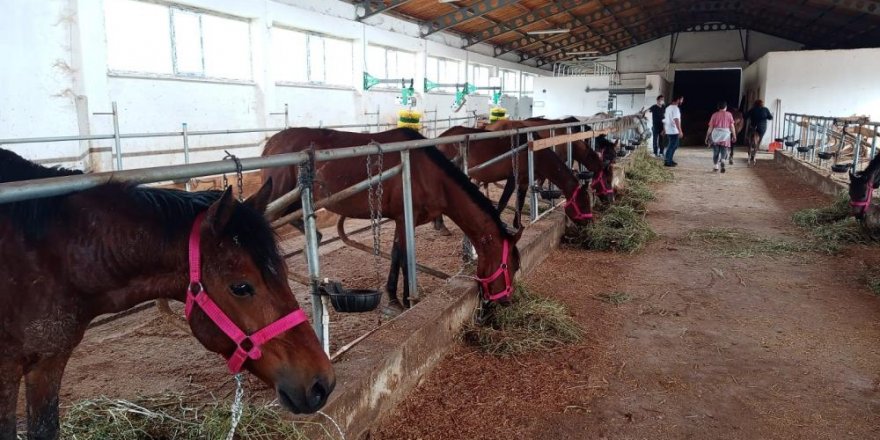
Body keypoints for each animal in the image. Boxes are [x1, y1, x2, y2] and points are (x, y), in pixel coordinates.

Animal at [262, 127, 524, 310]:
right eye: (510, 265)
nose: (506, 301)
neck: (427, 174)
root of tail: (271, 143)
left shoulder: (403, 220)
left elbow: (397, 255)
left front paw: (394, 297)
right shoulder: (404, 217)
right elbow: (405, 258)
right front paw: (407, 300)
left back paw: (313, 239)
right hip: (277, 196)